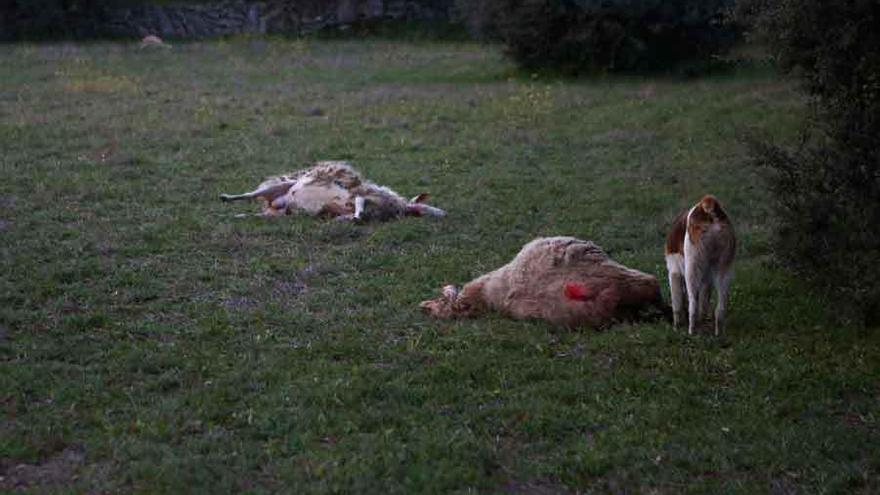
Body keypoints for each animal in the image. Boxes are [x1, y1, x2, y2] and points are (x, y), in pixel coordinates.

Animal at [217, 162, 444, 222]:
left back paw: (238, 215)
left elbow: (355, 210)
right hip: (281, 186)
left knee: (256, 213)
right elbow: (359, 201)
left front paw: (354, 218)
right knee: (250, 195)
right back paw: (226, 198)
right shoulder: (361, 194)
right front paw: (357, 216)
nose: (442, 213)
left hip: (281, 213)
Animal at [668, 196, 736, 336]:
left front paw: (677, 325)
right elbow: (704, 302)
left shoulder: (674, 272)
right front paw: (702, 319)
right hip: (723, 269)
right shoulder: (707, 280)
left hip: (691, 269)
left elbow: (677, 303)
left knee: (693, 302)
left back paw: (691, 330)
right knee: (721, 306)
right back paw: (718, 331)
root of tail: (707, 204)